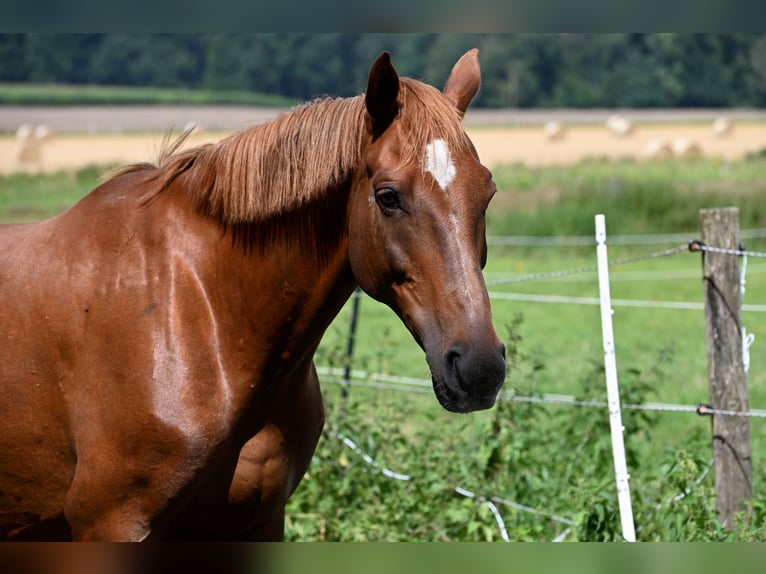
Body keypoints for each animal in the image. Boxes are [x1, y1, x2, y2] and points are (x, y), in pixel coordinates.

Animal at [1, 48, 510, 540]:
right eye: (388, 196)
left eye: (488, 193)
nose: (480, 367)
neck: (200, 314)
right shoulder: (111, 522)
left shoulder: (260, 519)